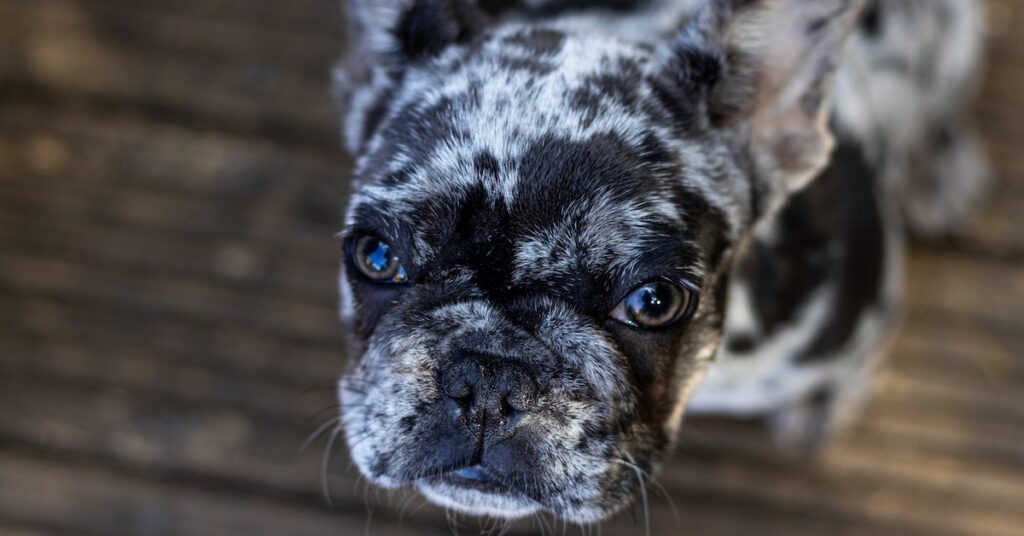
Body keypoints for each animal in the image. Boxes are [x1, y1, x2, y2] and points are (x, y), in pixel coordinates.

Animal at [331, 0, 987, 524]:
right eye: (375, 255)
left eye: (654, 301)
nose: (489, 377)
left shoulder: (861, 306)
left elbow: (856, 363)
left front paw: (820, 405)